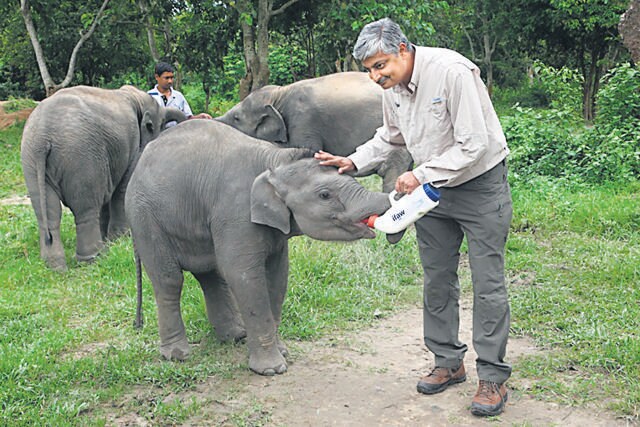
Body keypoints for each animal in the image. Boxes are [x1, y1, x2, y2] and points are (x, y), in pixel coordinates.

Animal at [21, 85, 186, 271]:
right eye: (161, 123)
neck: (133, 96)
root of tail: (43, 137)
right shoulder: (132, 143)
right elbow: (121, 188)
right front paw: (120, 239)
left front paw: (110, 240)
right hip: (80, 157)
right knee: (85, 207)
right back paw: (94, 257)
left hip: (31, 160)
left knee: (48, 213)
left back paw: (55, 268)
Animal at [126, 119, 391, 376]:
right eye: (325, 195)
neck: (276, 160)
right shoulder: (236, 212)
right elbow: (244, 275)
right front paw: (272, 369)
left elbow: (277, 274)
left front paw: (282, 352)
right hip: (145, 219)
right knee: (169, 280)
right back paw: (177, 355)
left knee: (210, 275)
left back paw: (236, 336)